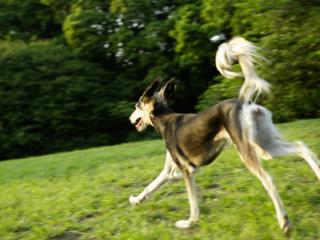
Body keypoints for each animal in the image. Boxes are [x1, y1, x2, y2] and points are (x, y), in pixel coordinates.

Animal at [128, 37, 320, 232]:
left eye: (137, 105)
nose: (130, 118)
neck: (165, 119)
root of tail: (244, 102)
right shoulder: (170, 171)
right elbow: (150, 187)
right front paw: (135, 200)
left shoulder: (186, 170)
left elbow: (193, 204)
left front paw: (188, 223)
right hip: (265, 145)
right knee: (301, 147)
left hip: (248, 149)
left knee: (269, 179)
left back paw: (284, 221)